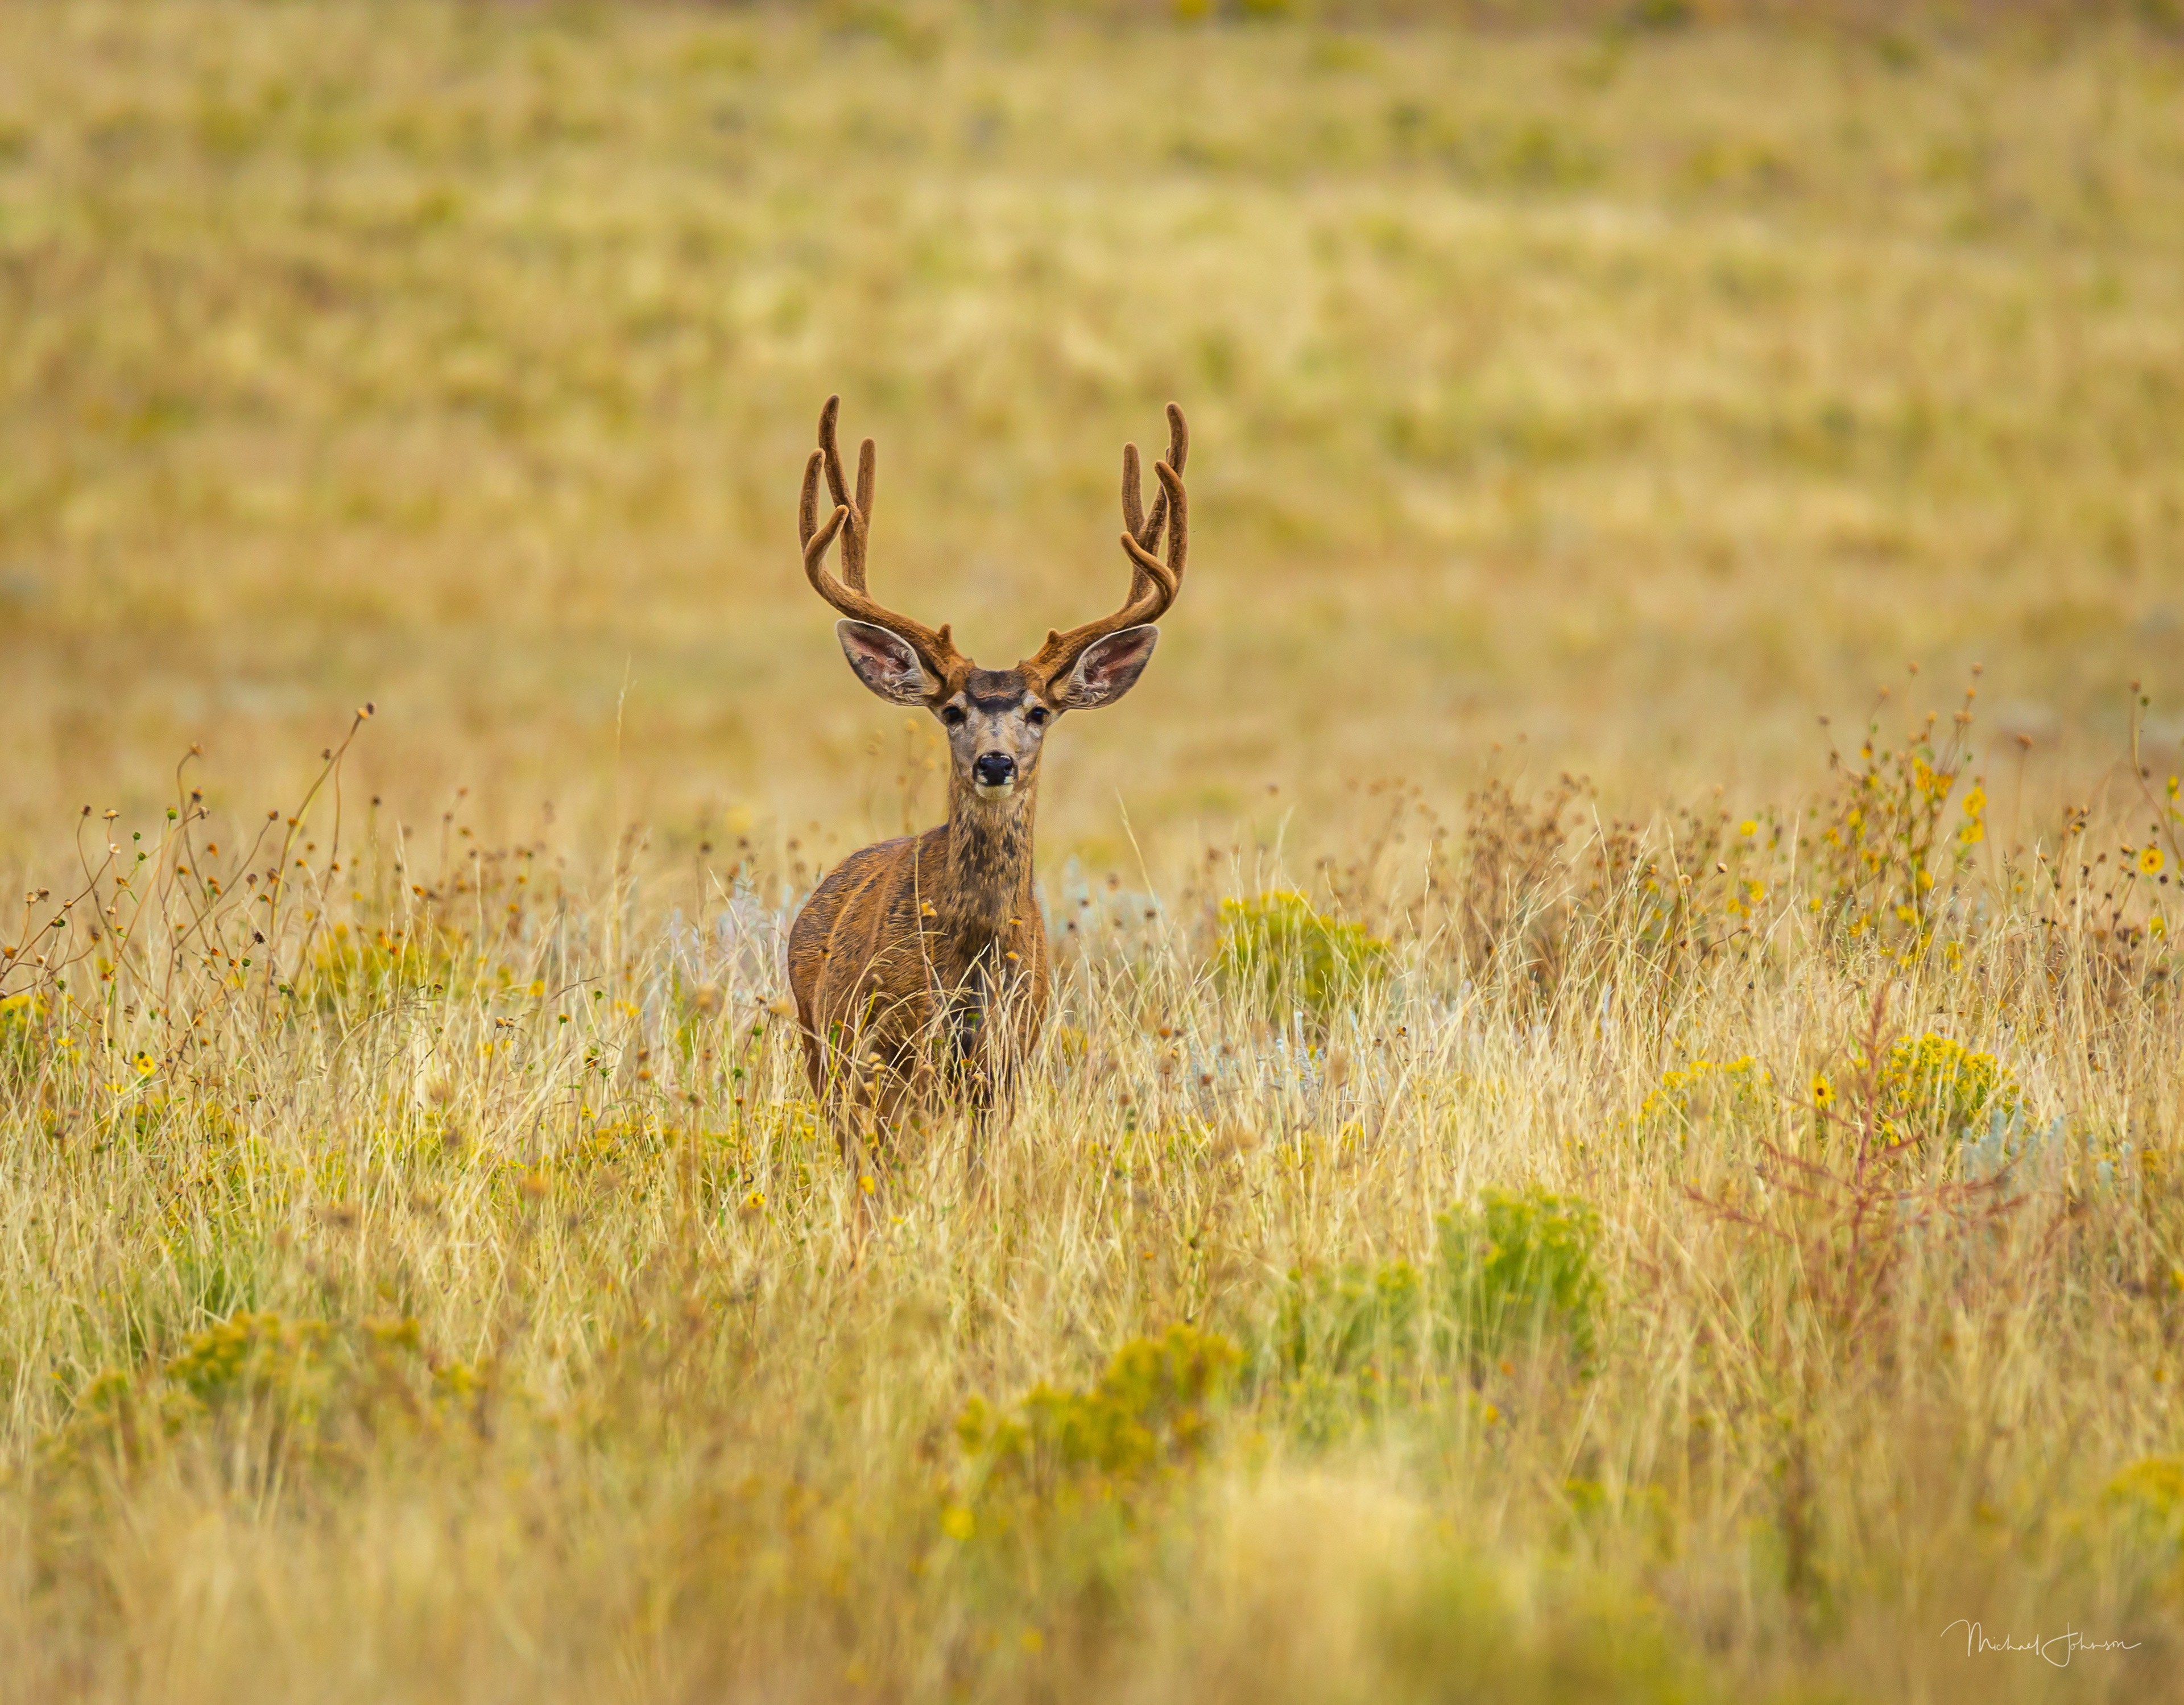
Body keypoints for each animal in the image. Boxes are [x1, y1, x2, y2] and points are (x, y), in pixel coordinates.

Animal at [785, 395, 1189, 1186]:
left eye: (1038, 712)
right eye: (951, 711)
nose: (996, 763)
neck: (970, 953)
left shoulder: (1008, 1058)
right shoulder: (890, 1048)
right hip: (826, 1048)